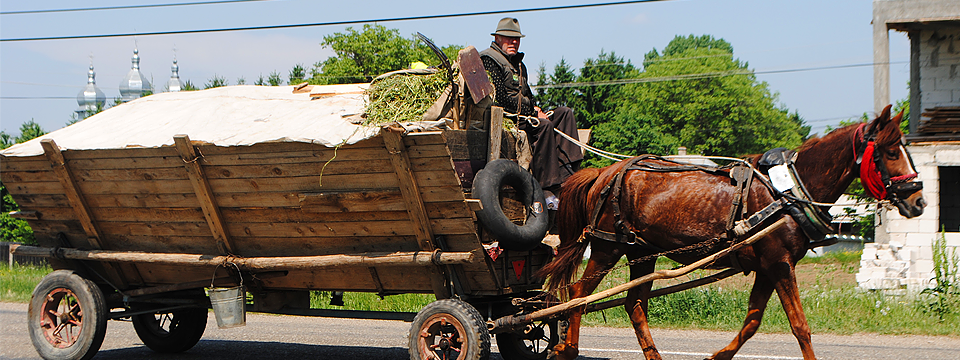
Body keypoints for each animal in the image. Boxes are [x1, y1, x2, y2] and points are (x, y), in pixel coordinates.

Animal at [536, 105, 928, 360]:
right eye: (890, 151)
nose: (919, 200)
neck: (787, 193)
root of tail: (606, 172)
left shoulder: (769, 267)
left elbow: (753, 321)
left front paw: (717, 357)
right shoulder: (779, 264)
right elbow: (800, 326)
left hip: (640, 252)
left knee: (634, 304)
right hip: (607, 248)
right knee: (578, 294)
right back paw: (566, 348)